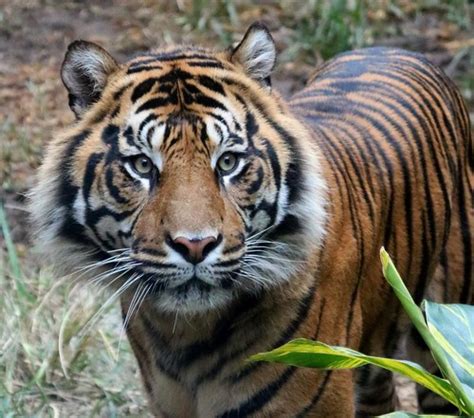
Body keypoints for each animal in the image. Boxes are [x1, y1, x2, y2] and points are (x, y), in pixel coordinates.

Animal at [29, 22, 470, 418]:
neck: (184, 335)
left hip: (445, 335)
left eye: (228, 162)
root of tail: (394, 48)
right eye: (141, 165)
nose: (195, 245)